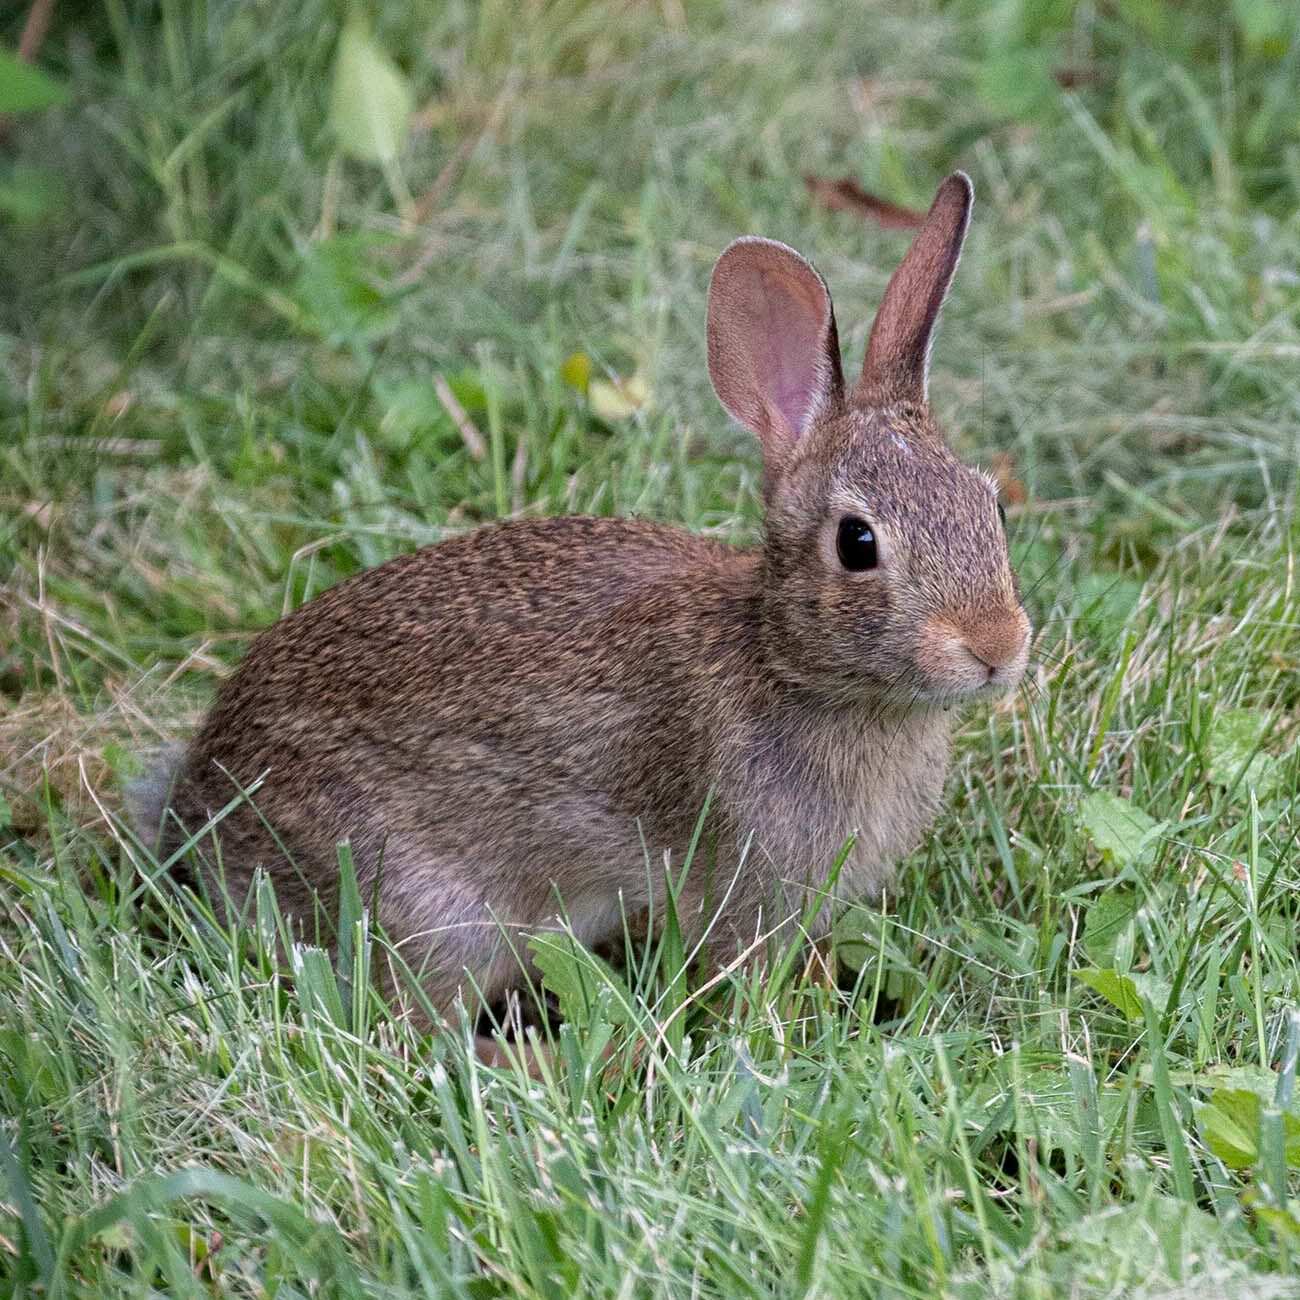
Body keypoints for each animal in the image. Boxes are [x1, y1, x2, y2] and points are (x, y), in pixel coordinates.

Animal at [134, 172, 1030, 1032]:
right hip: (433, 909)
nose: (995, 647)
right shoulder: (743, 885)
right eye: (857, 544)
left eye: (992, 508)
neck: (783, 662)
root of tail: (201, 809)